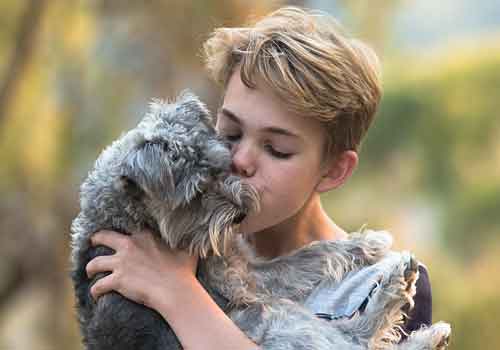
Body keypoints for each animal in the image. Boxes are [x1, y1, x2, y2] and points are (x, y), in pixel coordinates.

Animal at [71, 91, 454, 350]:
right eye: (196, 194)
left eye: (223, 165)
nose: (241, 213)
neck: (128, 216)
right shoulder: (244, 280)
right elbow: (307, 257)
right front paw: (364, 243)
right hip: (277, 318)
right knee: (356, 338)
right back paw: (401, 288)